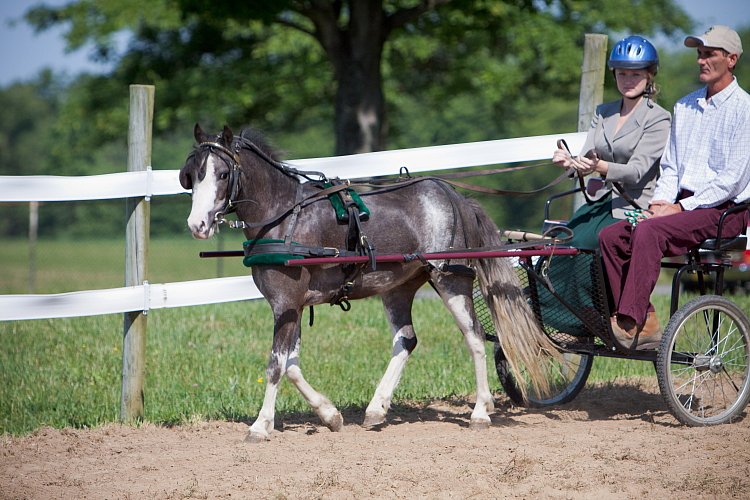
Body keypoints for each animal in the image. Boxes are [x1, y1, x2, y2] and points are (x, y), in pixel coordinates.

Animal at [181, 125, 560, 442]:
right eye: (191, 176)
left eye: (223, 173)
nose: (197, 225)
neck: (285, 217)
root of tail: (455, 198)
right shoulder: (293, 305)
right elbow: (291, 365)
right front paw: (330, 415)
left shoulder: (286, 303)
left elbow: (276, 364)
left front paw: (261, 426)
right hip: (397, 287)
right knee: (406, 339)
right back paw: (377, 408)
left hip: (451, 280)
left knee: (475, 336)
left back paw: (481, 410)